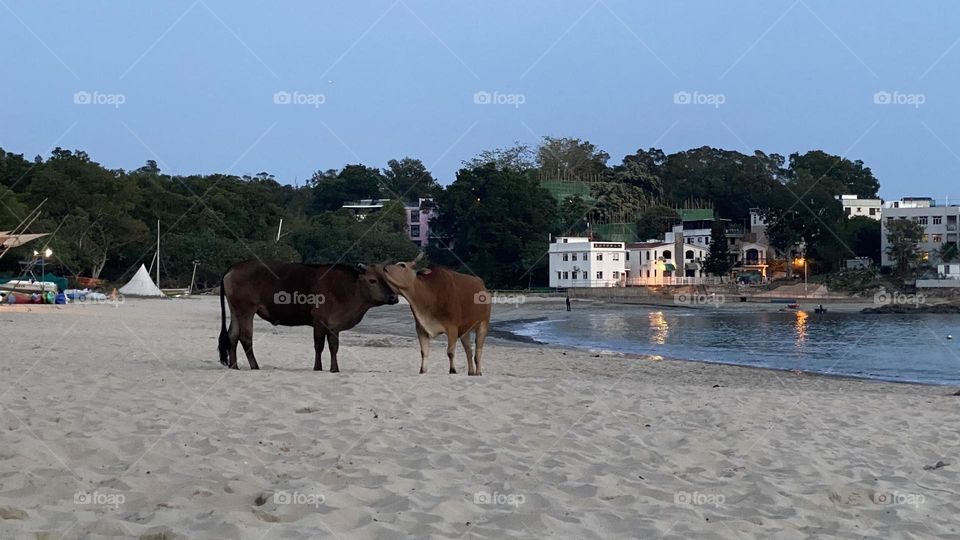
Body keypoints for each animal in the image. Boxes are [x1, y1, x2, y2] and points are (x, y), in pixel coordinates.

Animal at [217, 260, 398, 371]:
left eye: (386, 278)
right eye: (372, 280)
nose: (394, 297)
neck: (346, 288)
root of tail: (235, 266)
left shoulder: (334, 325)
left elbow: (334, 347)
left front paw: (334, 368)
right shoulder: (319, 321)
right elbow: (319, 346)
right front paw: (318, 367)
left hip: (235, 310)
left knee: (232, 335)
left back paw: (234, 366)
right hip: (246, 310)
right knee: (245, 337)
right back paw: (254, 366)